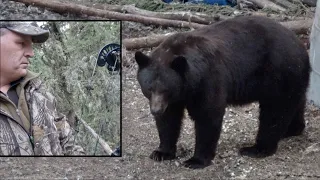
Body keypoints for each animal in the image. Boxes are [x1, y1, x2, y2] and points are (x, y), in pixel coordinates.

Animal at [134, 15, 310, 169]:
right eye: (149, 88)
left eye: (166, 89)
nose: (156, 110)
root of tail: (301, 45)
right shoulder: (175, 98)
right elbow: (169, 119)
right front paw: (161, 152)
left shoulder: (208, 79)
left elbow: (208, 115)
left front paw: (196, 160)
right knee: (295, 102)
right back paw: (292, 129)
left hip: (279, 72)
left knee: (274, 111)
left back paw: (257, 148)